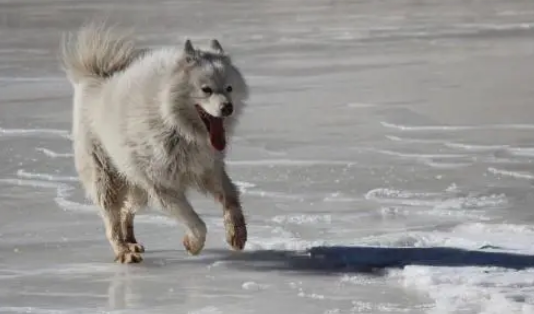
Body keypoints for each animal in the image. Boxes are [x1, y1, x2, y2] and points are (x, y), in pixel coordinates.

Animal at [60, 22, 249, 262]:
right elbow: (197, 223)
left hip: (137, 184)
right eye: (206, 90)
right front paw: (192, 244)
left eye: (229, 88)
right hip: (107, 178)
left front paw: (237, 234)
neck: (175, 124)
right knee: (112, 220)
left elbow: (231, 197)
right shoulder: (162, 186)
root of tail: (95, 77)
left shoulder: (208, 169)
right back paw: (124, 252)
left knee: (126, 211)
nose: (227, 108)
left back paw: (131, 242)